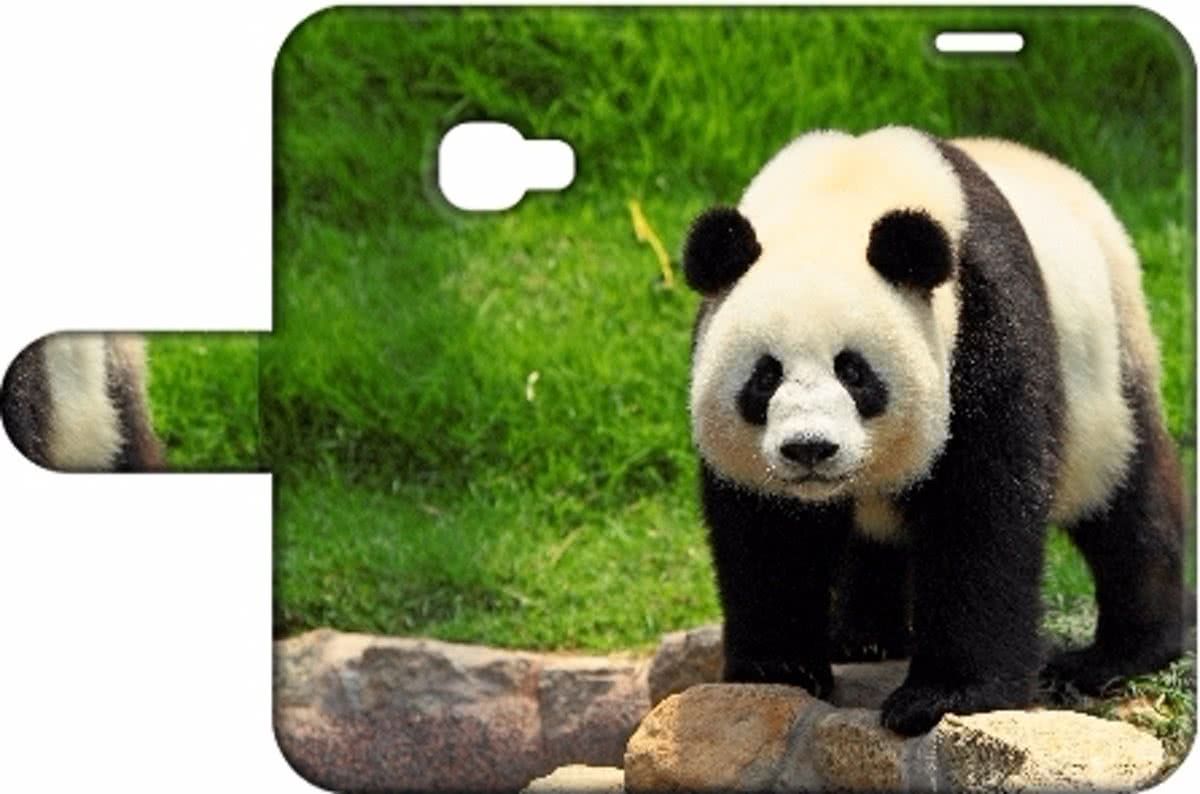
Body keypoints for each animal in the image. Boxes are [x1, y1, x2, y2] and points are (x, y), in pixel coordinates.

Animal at [684, 126, 1188, 736]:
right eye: (765, 376)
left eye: (854, 371)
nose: (810, 449)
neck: (840, 195)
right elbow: (769, 532)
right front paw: (777, 669)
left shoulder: (984, 317)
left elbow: (980, 510)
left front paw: (945, 696)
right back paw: (864, 637)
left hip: (1109, 369)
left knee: (1128, 503)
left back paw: (1118, 655)